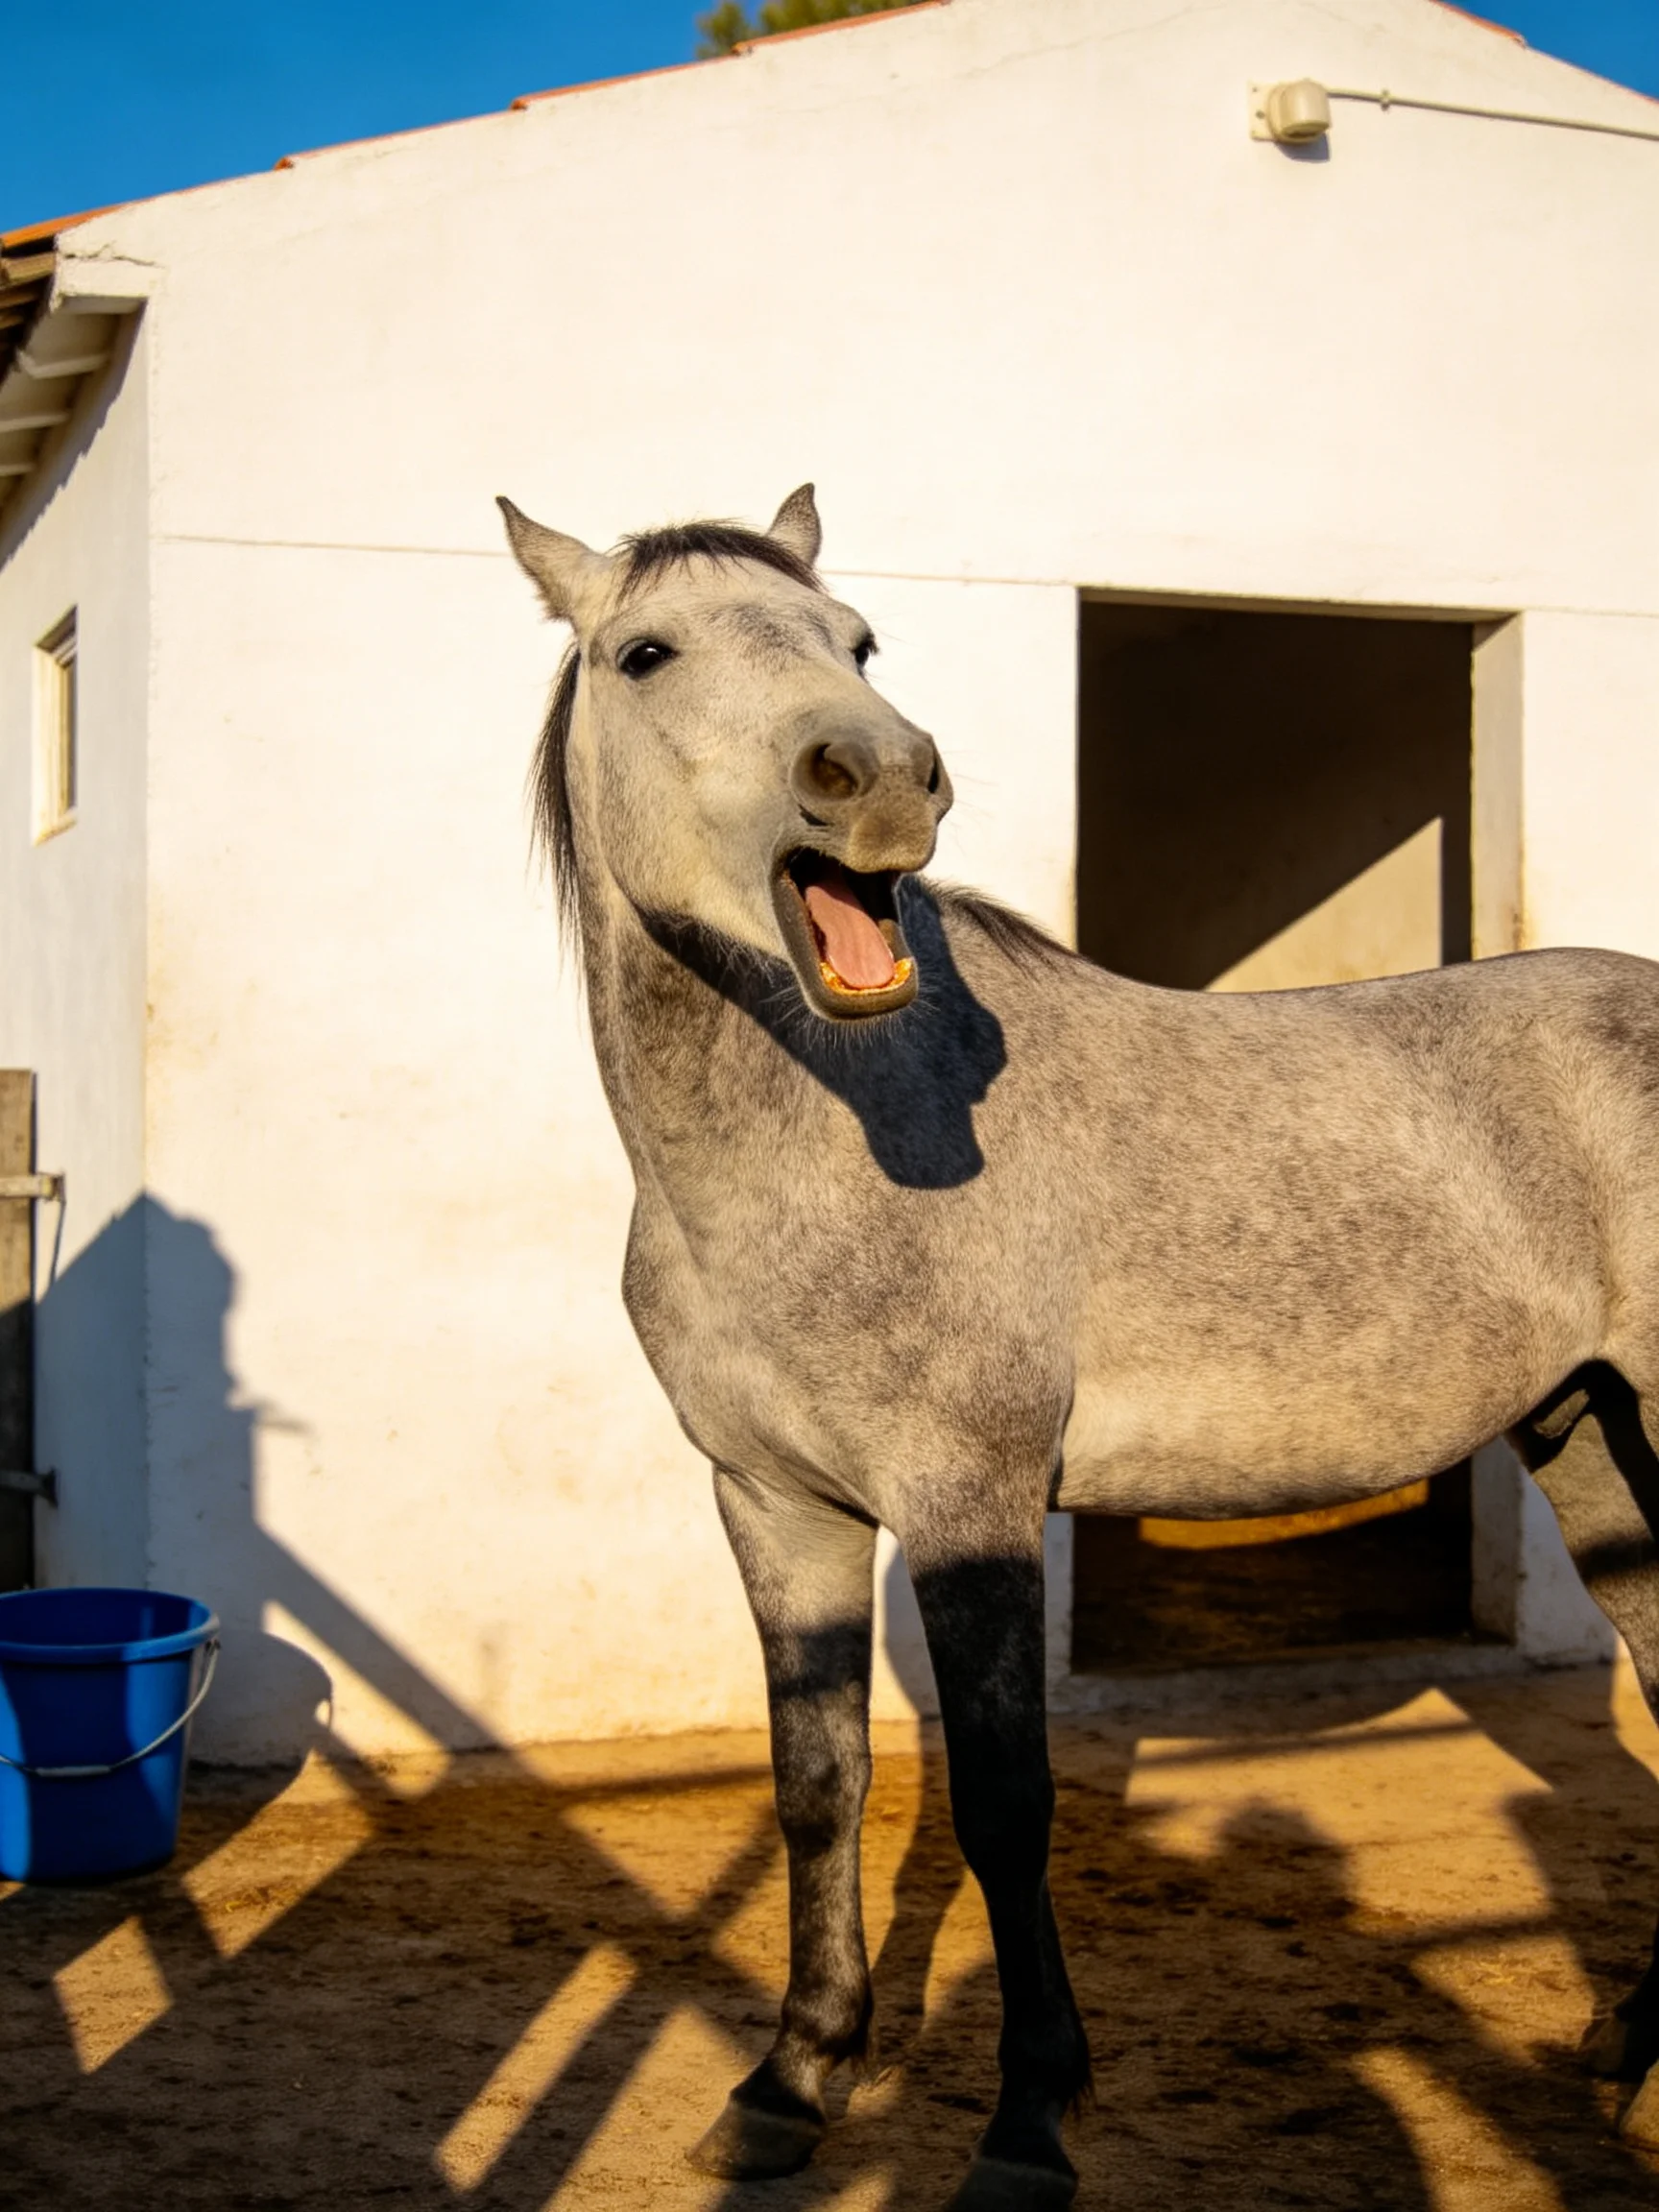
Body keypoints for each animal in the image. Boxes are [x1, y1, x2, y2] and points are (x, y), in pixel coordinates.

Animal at [500, 483, 1659, 2208]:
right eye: (648, 652)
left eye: (856, 639)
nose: (880, 780)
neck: (845, 1131)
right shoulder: (776, 1507)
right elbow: (815, 1786)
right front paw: (792, 2079)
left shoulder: (969, 1504)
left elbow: (1002, 1804)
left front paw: (1026, 2124)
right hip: (1585, 1432)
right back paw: (1629, 2046)